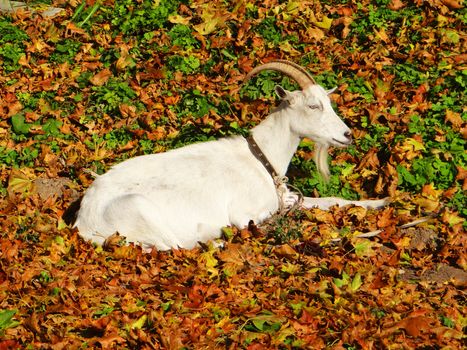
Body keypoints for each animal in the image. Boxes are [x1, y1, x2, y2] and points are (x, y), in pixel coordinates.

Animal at [73, 60, 388, 252]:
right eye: (313, 106)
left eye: (328, 103)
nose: (347, 135)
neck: (260, 157)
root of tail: (84, 222)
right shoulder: (245, 213)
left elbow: (328, 200)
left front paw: (380, 202)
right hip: (139, 210)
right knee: (173, 246)